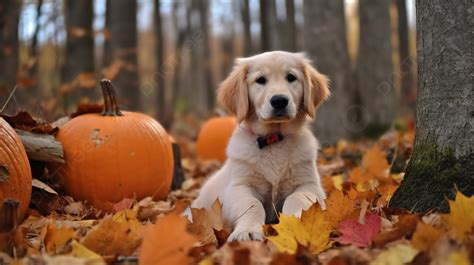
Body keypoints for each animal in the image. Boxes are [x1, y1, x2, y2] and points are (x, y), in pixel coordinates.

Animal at [186, 50, 330, 240]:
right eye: (260, 80)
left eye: (291, 77)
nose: (279, 100)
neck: (273, 140)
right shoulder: (239, 186)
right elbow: (252, 204)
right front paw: (247, 231)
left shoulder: (310, 185)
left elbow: (297, 198)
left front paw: (296, 223)